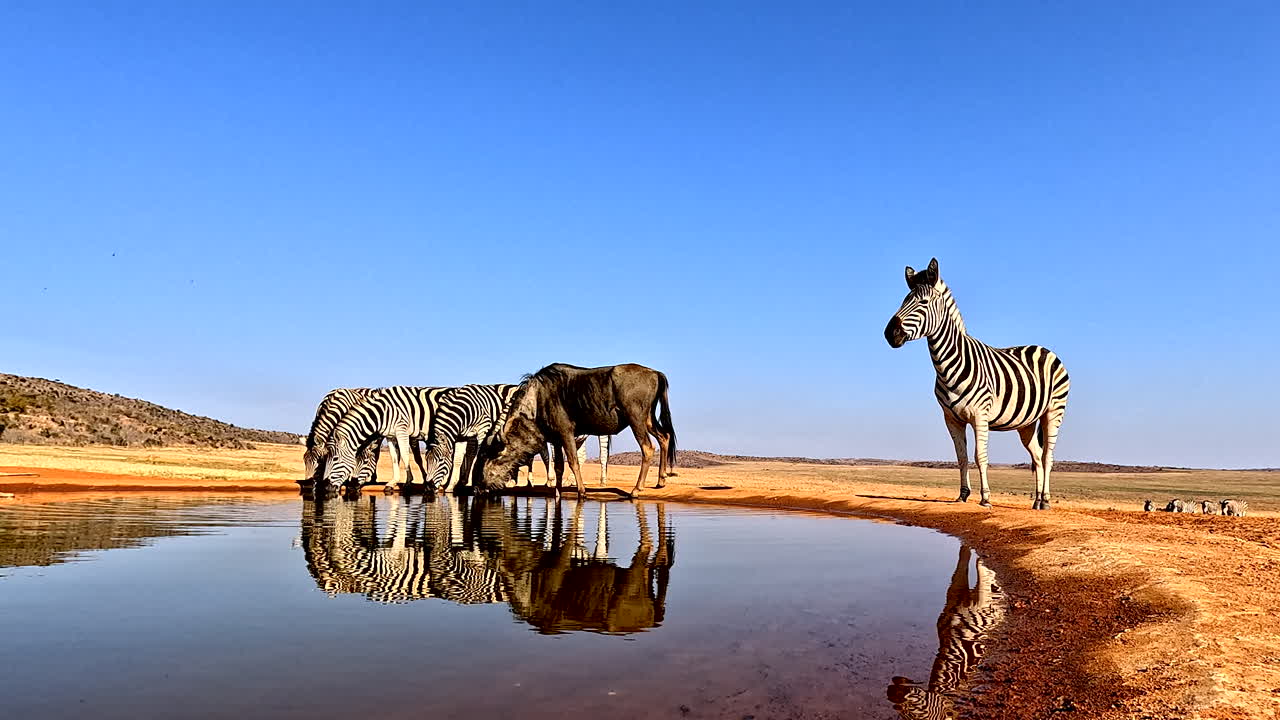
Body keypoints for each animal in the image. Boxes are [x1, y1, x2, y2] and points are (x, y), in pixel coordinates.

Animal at [885, 258, 1070, 510]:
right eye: (903, 301)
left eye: (923, 302)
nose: (889, 333)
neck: (949, 365)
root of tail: (1045, 349)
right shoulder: (951, 418)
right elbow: (961, 457)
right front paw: (963, 495)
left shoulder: (980, 415)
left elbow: (979, 456)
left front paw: (985, 498)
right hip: (1027, 423)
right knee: (1037, 457)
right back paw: (1037, 500)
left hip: (1053, 411)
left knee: (1047, 457)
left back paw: (1046, 501)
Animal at [886, 545, 1005, 719]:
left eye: (916, 716)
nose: (890, 692)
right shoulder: (955, 591)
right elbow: (963, 559)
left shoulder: (982, 605)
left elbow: (981, 569)